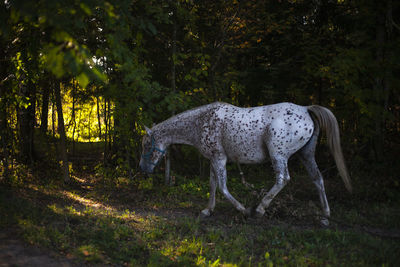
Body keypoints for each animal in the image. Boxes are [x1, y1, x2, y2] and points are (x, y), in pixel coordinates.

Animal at [139, 102, 352, 226]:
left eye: (145, 144)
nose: (143, 170)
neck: (201, 122)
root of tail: (306, 110)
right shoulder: (213, 160)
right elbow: (212, 185)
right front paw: (208, 210)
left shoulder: (219, 158)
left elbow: (223, 187)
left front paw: (244, 210)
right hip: (305, 155)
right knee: (318, 179)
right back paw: (325, 216)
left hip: (278, 155)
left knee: (283, 179)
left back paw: (259, 210)